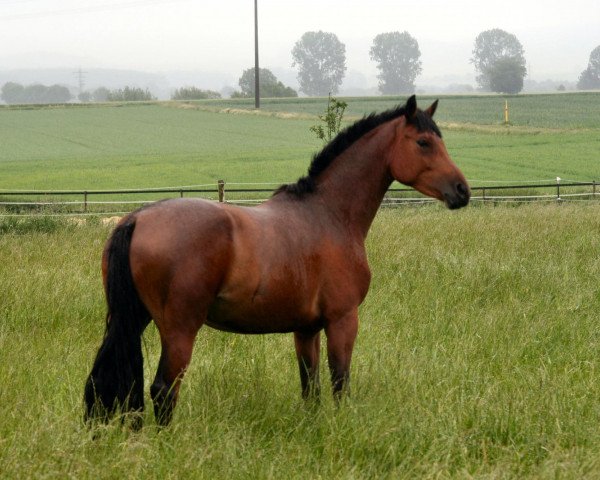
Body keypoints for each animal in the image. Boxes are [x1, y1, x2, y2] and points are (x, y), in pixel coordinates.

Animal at [83, 95, 468, 426]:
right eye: (423, 142)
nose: (462, 191)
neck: (328, 214)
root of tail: (138, 218)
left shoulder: (306, 329)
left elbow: (311, 386)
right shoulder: (343, 320)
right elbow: (339, 383)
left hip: (133, 320)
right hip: (179, 330)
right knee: (163, 391)